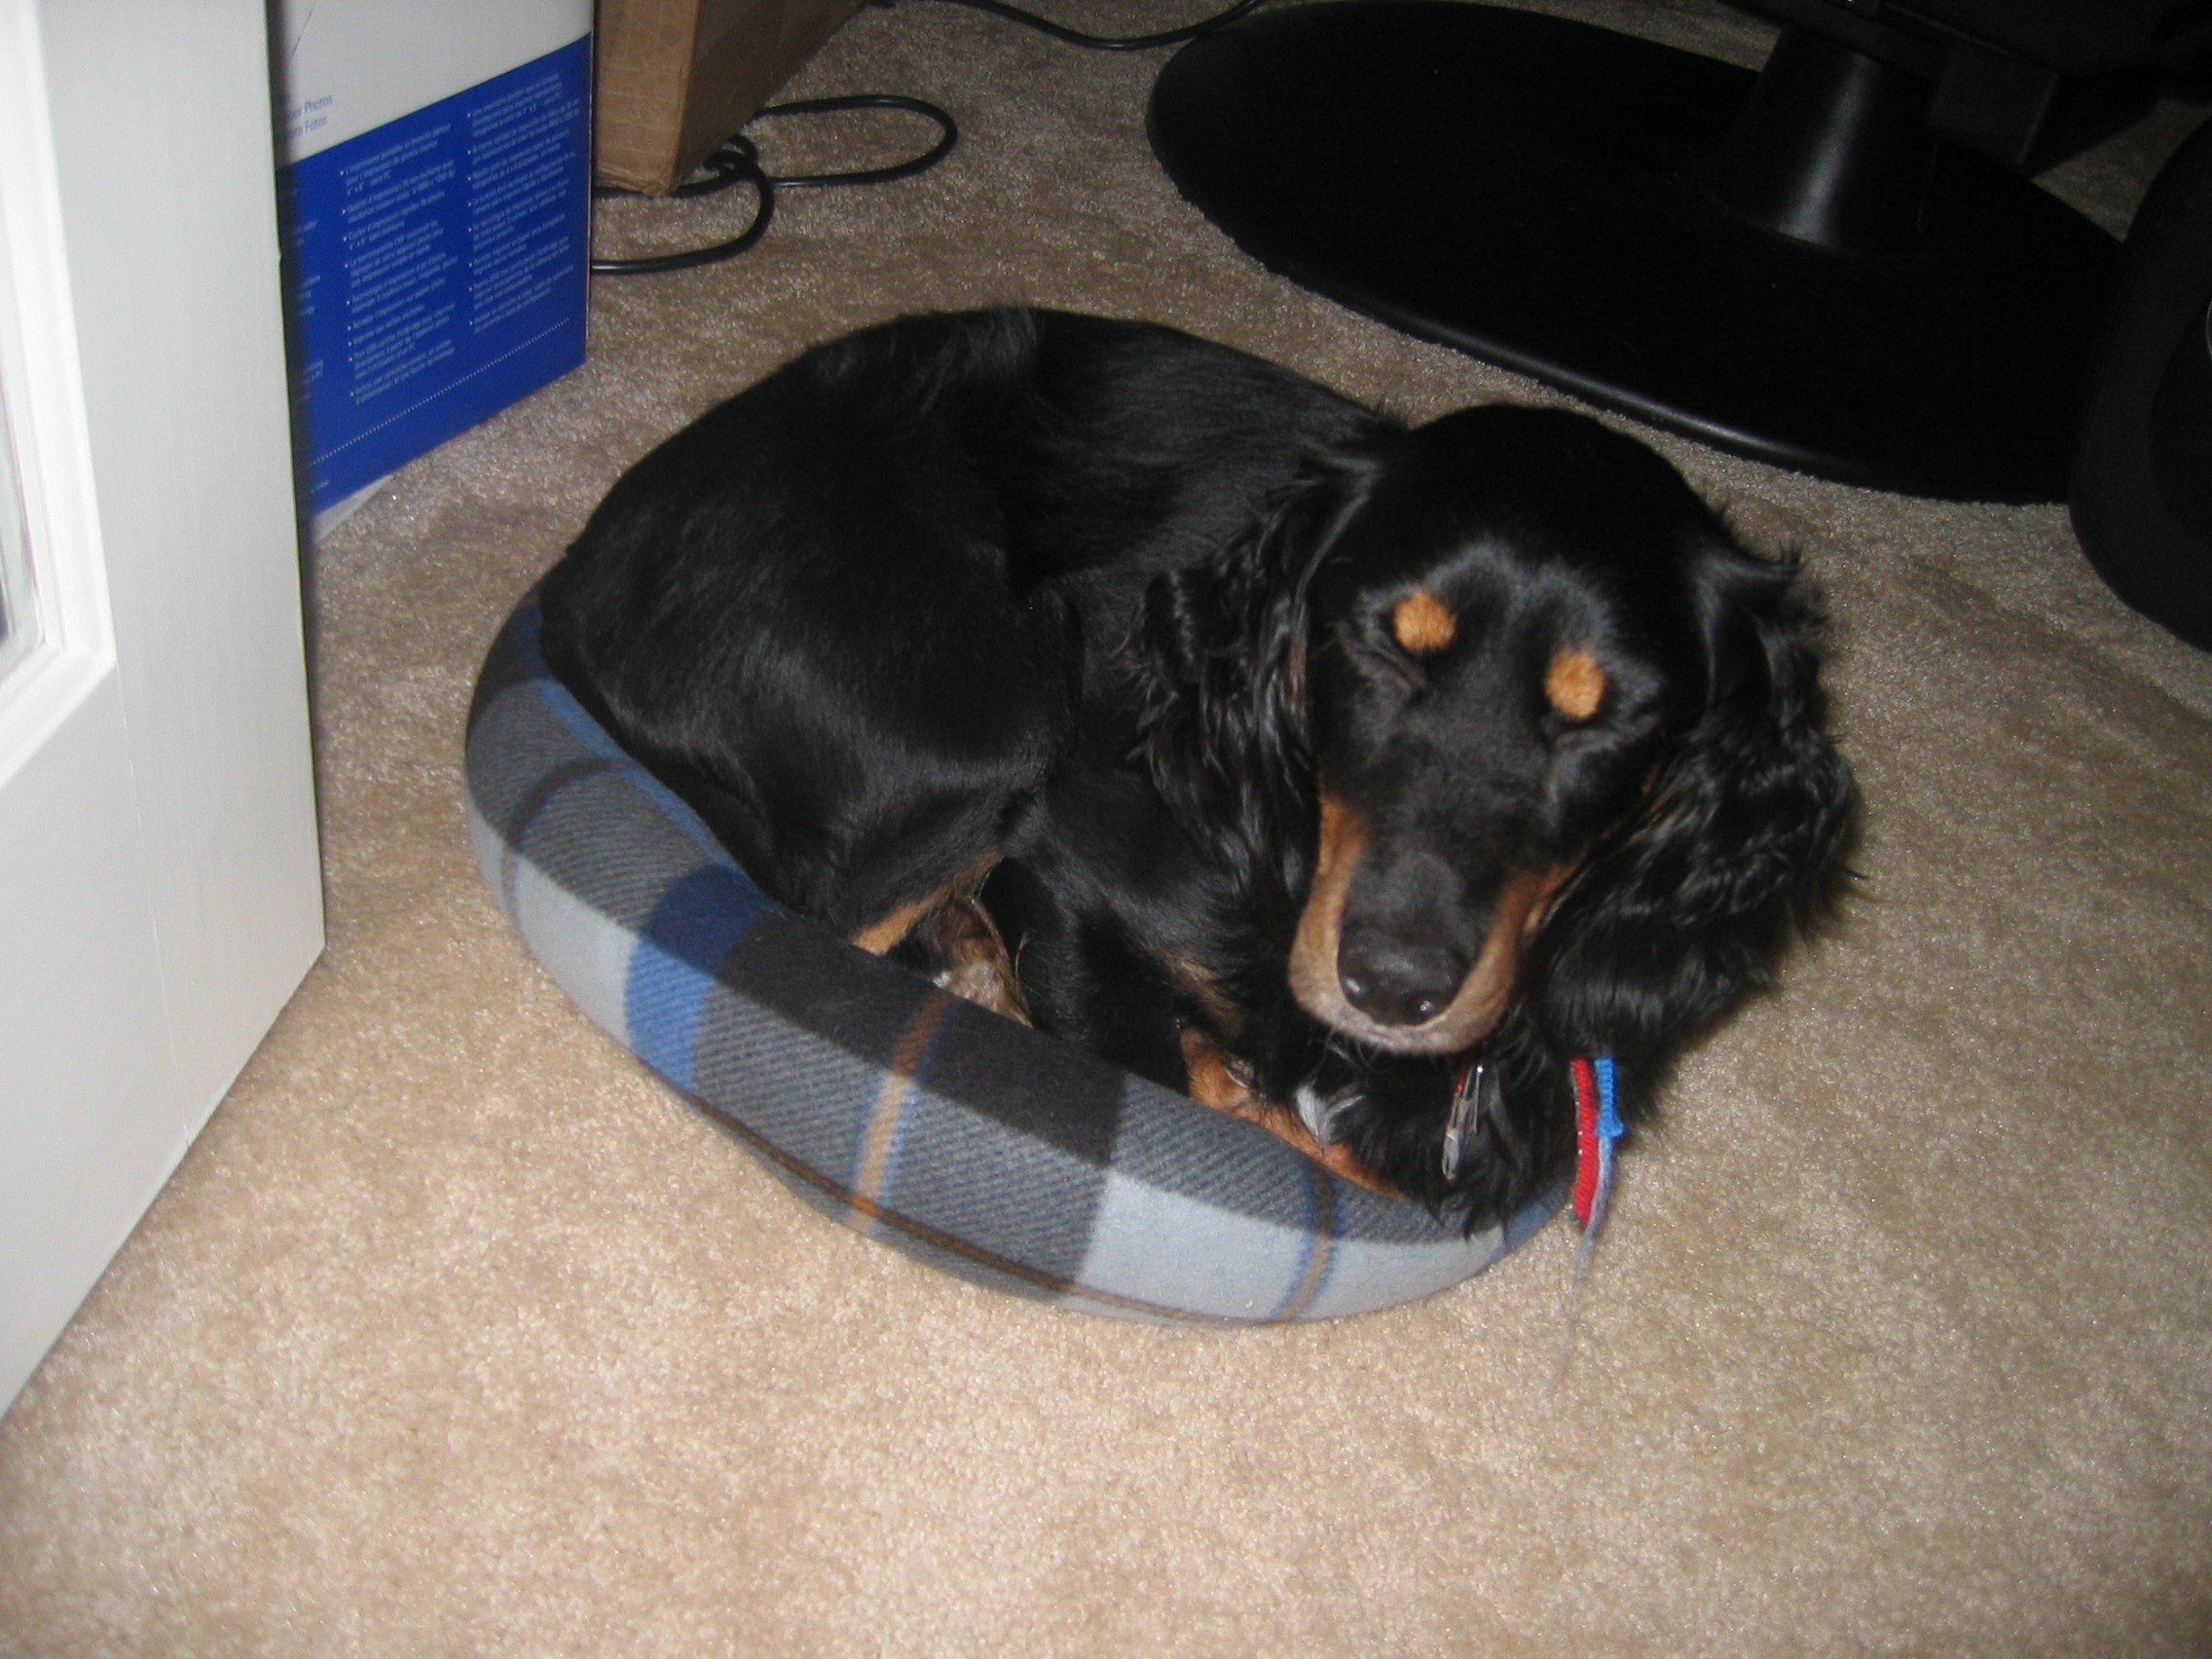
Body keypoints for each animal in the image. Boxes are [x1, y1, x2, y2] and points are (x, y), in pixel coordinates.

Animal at [539, 305, 1849, 1230]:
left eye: (1608, 721)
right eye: (1380, 645)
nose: (1393, 987)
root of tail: (580, 578)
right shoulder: (1071, 872)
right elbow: (1218, 1102)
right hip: (995, 720)